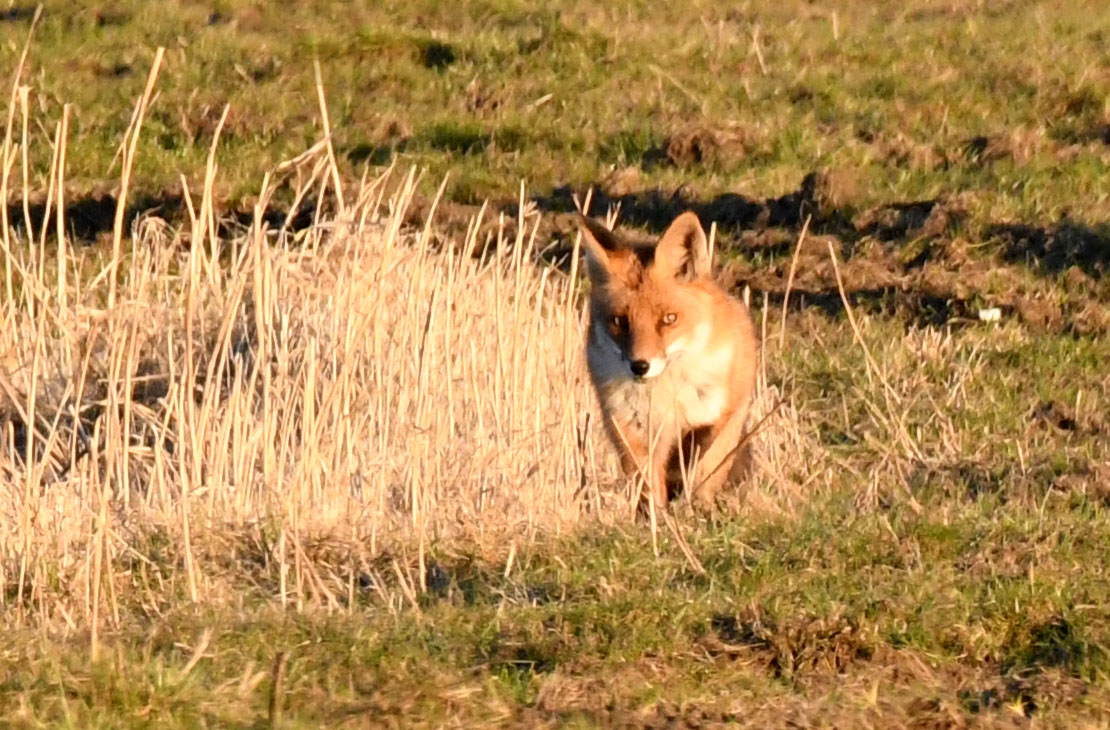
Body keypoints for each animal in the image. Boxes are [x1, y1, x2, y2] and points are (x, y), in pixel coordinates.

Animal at [578, 210, 758, 511]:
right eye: (620, 321)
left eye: (668, 319)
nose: (640, 366)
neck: (667, 396)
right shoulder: (630, 429)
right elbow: (647, 484)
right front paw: (656, 516)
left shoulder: (725, 413)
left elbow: (706, 466)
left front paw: (696, 509)